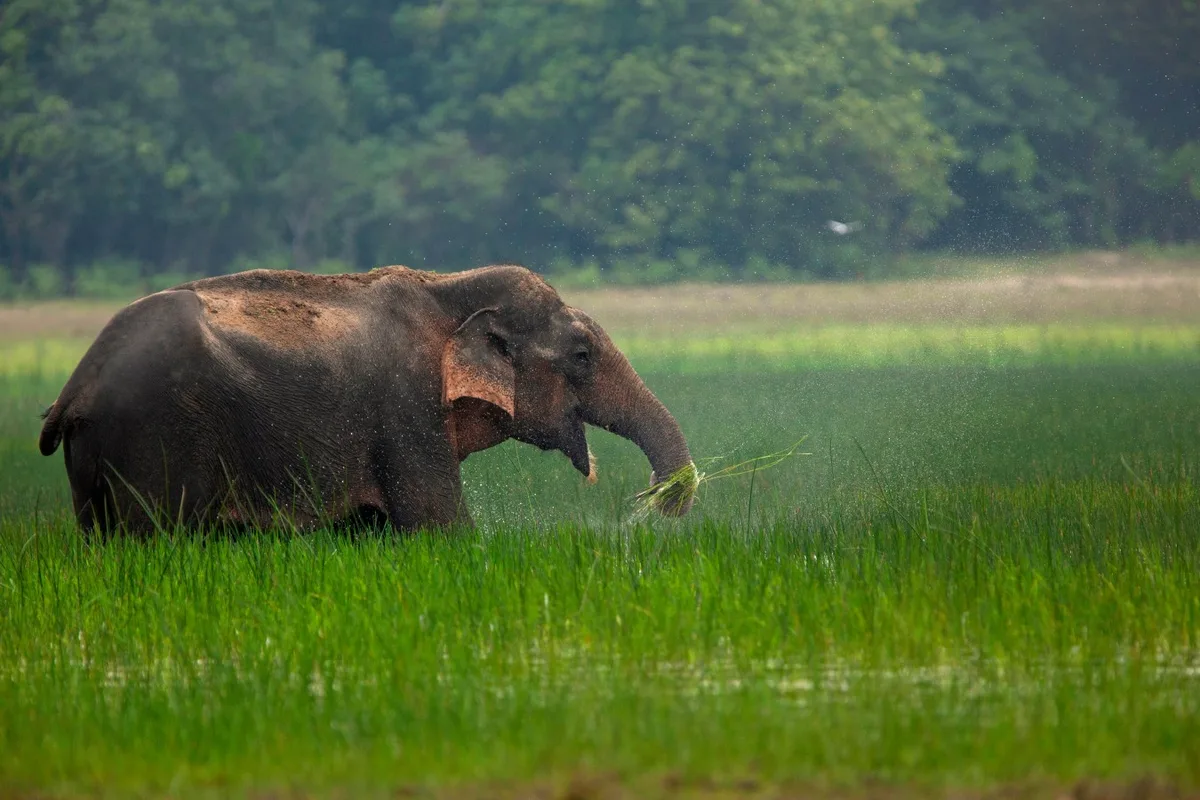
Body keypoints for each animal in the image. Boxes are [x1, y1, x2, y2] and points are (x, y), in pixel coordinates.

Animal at [37, 264, 696, 535]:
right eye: (582, 355)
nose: (660, 500)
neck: (446, 286)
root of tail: (77, 385)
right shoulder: (407, 409)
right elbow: (439, 525)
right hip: (155, 439)